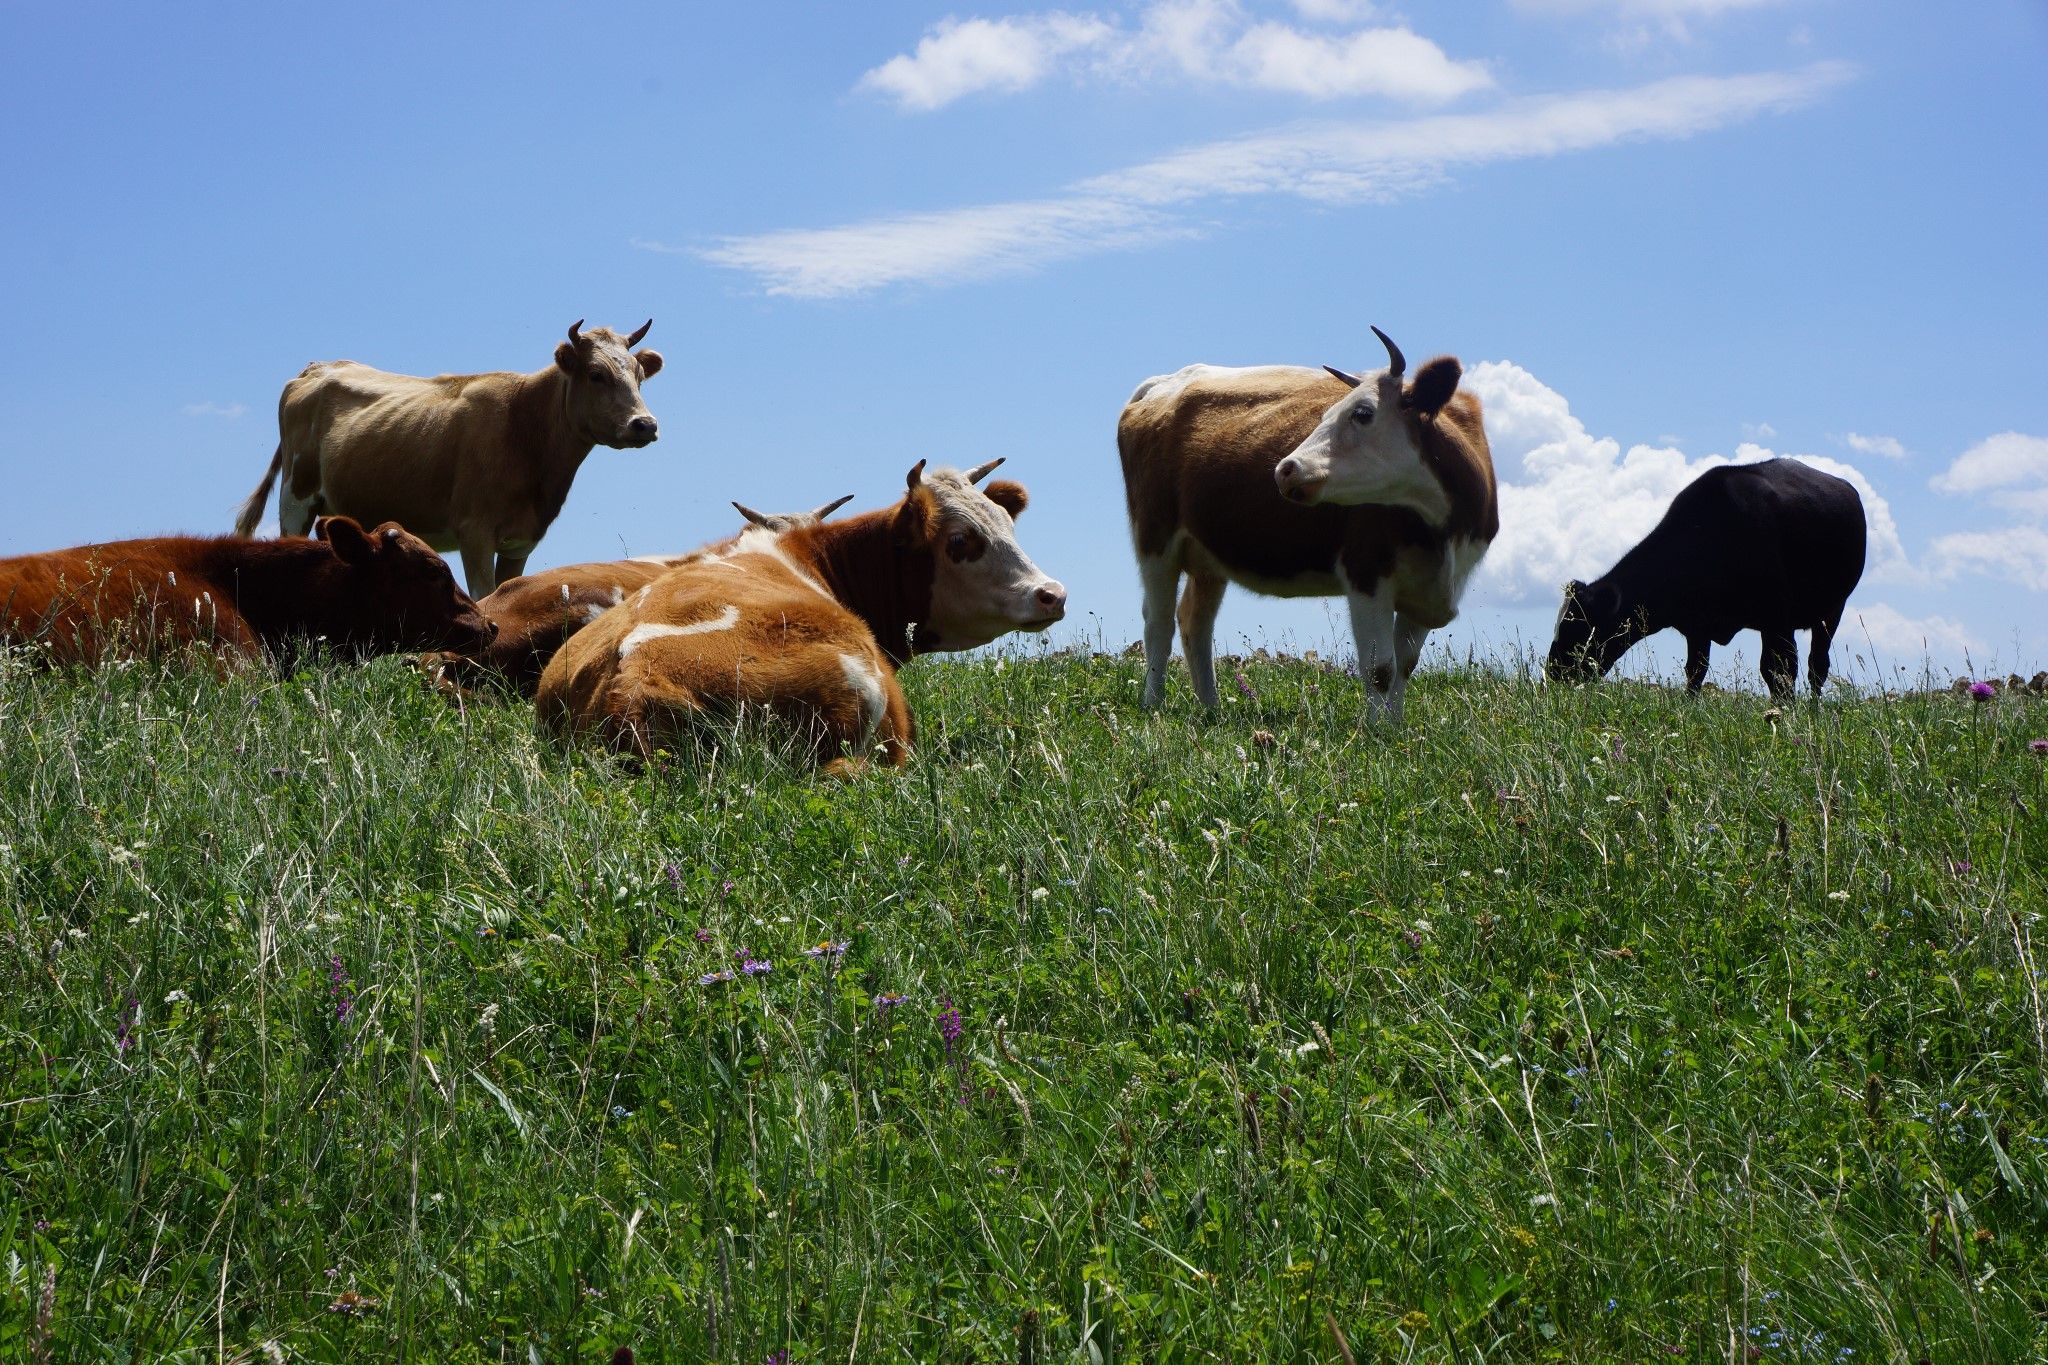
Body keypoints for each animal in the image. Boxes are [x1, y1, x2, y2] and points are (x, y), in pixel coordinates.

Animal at [235, 323, 663, 601]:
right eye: (596, 374)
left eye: (639, 375)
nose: (644, 424)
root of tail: (319, 366)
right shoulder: (475, 532)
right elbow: (483, 597)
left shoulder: (519, 542)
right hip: (296, 496)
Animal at [1114, 327, 1499, 724]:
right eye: (1325, 413)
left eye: (1363, 413)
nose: (1286, 468)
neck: (1443, 532)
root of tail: (1165, 382)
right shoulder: (1366, 572)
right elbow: (1380, 668)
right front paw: (1377, 731)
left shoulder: (1429, 591)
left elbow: (1404, 666)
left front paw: (1394, 726)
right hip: (1155, 538)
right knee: (1158, 623)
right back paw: (1153, 704)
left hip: (1208, 555)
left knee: (1195, 622)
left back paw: (1211, 708)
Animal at [1548, 458, 1875, 699]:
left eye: (1576, 627)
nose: (1552, 672)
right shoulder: (1697, 626)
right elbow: (1695, 671)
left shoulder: (1777, 620)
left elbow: (1779, 672)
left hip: (1832, 611)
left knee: (1817, 667)